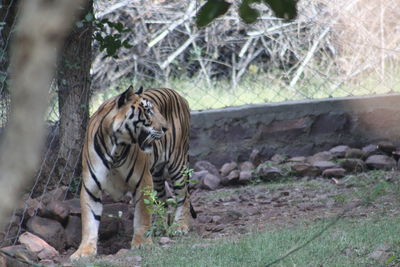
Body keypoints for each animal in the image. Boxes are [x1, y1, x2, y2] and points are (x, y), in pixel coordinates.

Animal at [71, 87, 195, 260]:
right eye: (148, 111)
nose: (166, 128)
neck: (115, 148)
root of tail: (178, 95)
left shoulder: (143, 182)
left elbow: (142, 215)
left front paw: (142, 243)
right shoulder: (91, 188)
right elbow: (89, 221)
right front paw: (84, 252)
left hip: (178, 164)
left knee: (184, 196)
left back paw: (180, 226)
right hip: (156, 174)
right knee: (162, 201)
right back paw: (158, 228)